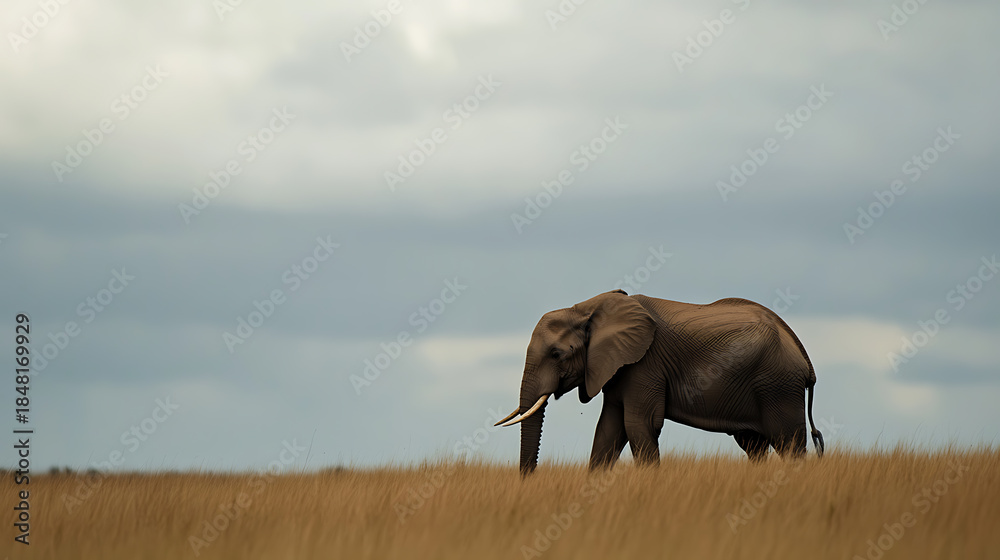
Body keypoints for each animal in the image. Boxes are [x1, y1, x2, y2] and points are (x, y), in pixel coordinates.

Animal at [496, 290, 824, 476]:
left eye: (556, 354)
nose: (529, 481)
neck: (587, 309)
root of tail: (804, 357)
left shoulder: (645, 365)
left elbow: (639, 425)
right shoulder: (616, 368)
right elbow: (608, 429)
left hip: (778, 386)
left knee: (788, 443)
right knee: (753, 445)